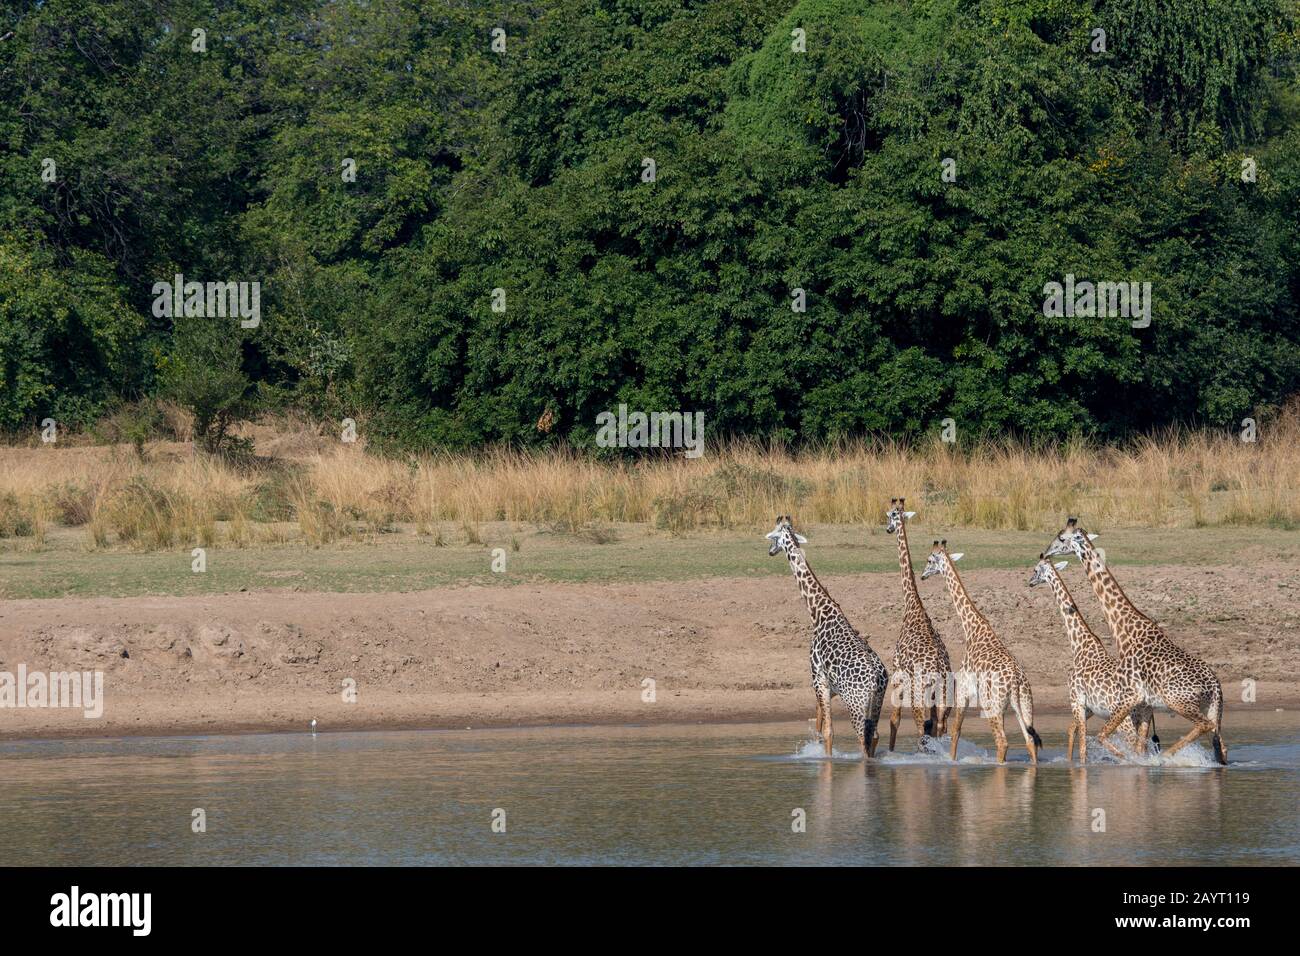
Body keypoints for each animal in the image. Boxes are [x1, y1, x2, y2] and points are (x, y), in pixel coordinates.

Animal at [766, 516, 890, 758]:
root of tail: (878, 679)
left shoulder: (818, 679)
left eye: (774, 536)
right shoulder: (830, 688)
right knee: (875, 736)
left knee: (863, 740)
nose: (770, 551)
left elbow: (828, 732)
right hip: (877, 703)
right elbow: (820, 725)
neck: (818, 613)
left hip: (856, 704)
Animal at [884, 498, 952, 750]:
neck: (913, 605)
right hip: (943, 699)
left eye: (892, 514)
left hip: (919, 693)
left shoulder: (897, 672)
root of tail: (937, 673)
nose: (888, 529)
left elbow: (894, 719)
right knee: (939, 727)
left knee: (921, 726)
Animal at [921, 540, 1042, 763]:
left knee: (1002, 742)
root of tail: (1016, 682)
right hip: (1025, 704)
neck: (972, 628)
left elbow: (956, 731)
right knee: (1030, 741)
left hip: (992, 706)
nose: (923, 575)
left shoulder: (963, 691)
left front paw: (951, 761)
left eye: (929, 560)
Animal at [1027, 554, 1157, 762]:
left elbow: (1082, 749)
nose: (1030, 582)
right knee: (1142, 749)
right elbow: (1072, 731)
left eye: (1036, 569)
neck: (1079, 645)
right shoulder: (1088, 708)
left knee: (1133, 747)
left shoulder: (1076, 700)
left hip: (1125, 719)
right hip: (1141, 718)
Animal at [1044, 518, 1226, 764]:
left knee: (1203, 726)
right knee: (1221, 746)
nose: (1046, 552)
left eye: (1061, 538)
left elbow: (1107, 737)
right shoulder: (1144, 704)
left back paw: (1166, 757)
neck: (1124, 630)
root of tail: (1215, 686)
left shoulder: (1132, 696)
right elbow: (1137, 744)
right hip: (1213, 708)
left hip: (1177, 701)